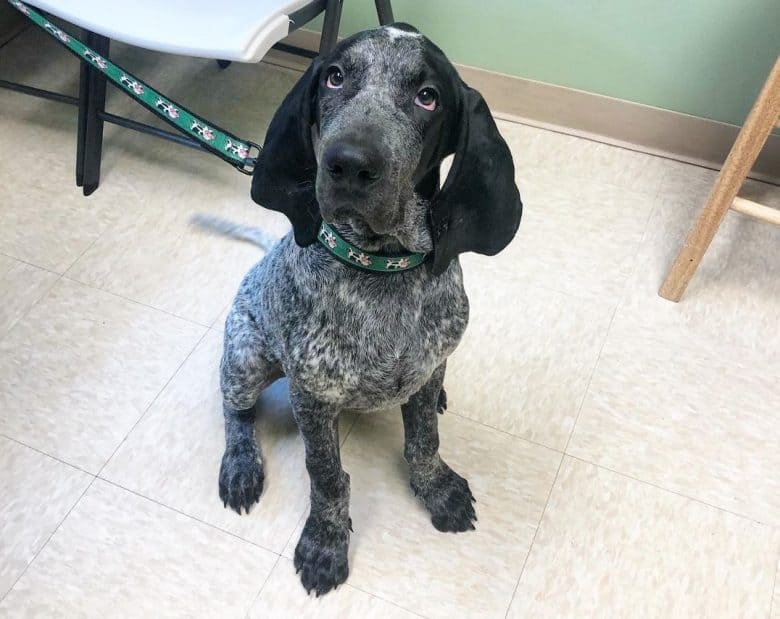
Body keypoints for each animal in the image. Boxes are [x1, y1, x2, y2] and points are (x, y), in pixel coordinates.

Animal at [219, 23, 520, 596]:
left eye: (428, 97)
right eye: (335, 77)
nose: (349, 163)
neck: (382, 268)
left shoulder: (429, 363)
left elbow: (424, 441)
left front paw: (437, 489)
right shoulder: (312, 397)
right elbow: (327, 477)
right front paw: (325, 542)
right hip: (244, 358)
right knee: (234, 411)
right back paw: (240, 463)